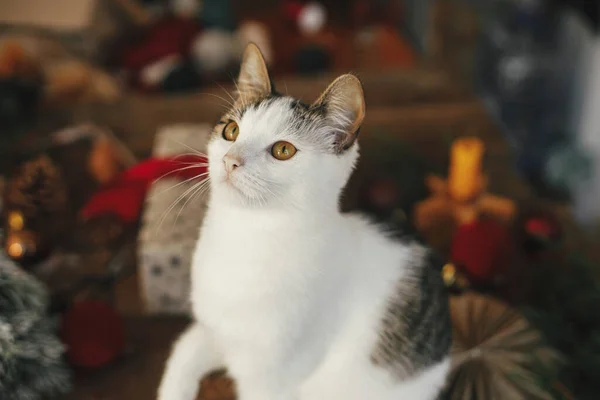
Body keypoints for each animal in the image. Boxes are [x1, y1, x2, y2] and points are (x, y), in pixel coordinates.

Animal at [157, 43, 452, 400]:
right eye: (231, 131)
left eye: (283, 150)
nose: (230, 160)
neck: (246, 235)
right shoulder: (213, 331)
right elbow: (183, 352)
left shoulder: (274, 380)